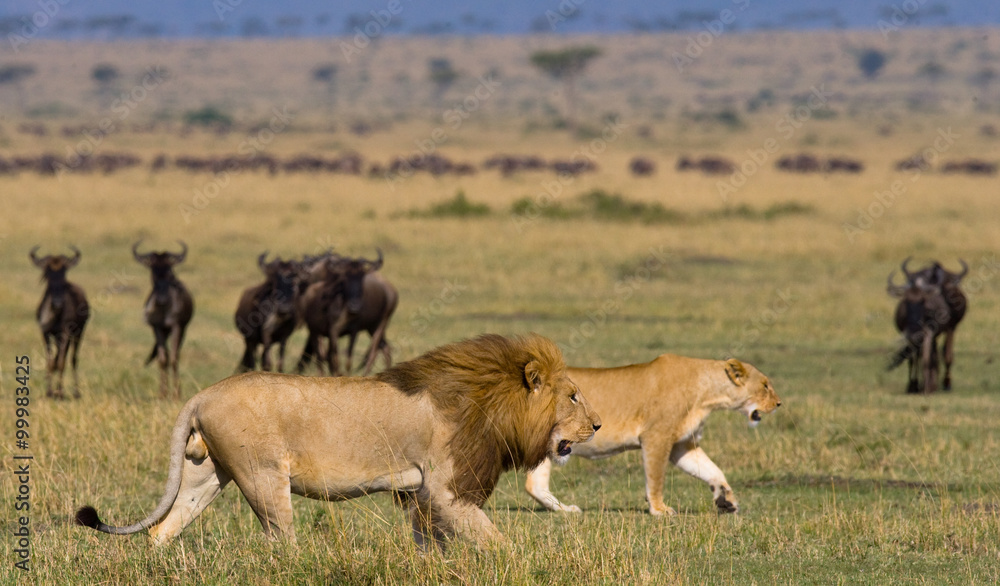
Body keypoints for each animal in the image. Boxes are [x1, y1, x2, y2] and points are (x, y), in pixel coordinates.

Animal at [75, 333, 601, 549]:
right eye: (573, 396)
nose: (596, 425)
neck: (491, 402)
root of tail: (203, 393)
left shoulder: (421, 493)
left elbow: (430, 545)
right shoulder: (446, 489)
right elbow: (496, 542)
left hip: (206, 474)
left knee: (163, 530)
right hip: (263, 477)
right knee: (280, 542)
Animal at [525, 355, 780, 516]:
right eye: (765, 385)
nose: (779, 404)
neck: (707, 394)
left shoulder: (682, 445)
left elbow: (712, 470)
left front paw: (725, 500)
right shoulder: (657, 436)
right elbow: (656, 478)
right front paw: (659, 509)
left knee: (534, 485)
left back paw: (565, 510)